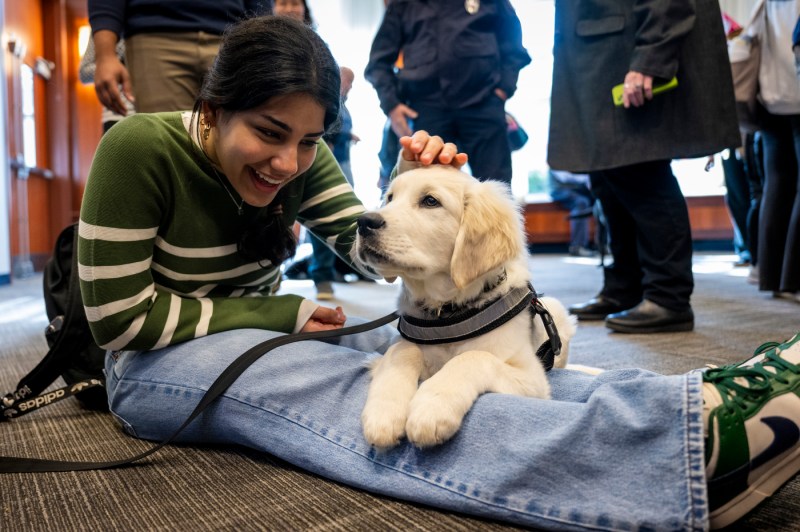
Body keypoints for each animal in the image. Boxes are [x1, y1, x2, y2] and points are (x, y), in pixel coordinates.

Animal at [354, 166, 572, 448]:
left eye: (430, 201)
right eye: (390, 198)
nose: (363, 222)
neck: (446, 312)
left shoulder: (533, 379)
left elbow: (474, 357)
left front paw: (431, 408)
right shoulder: (400, 346)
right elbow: (402, 350)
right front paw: (384, 413)